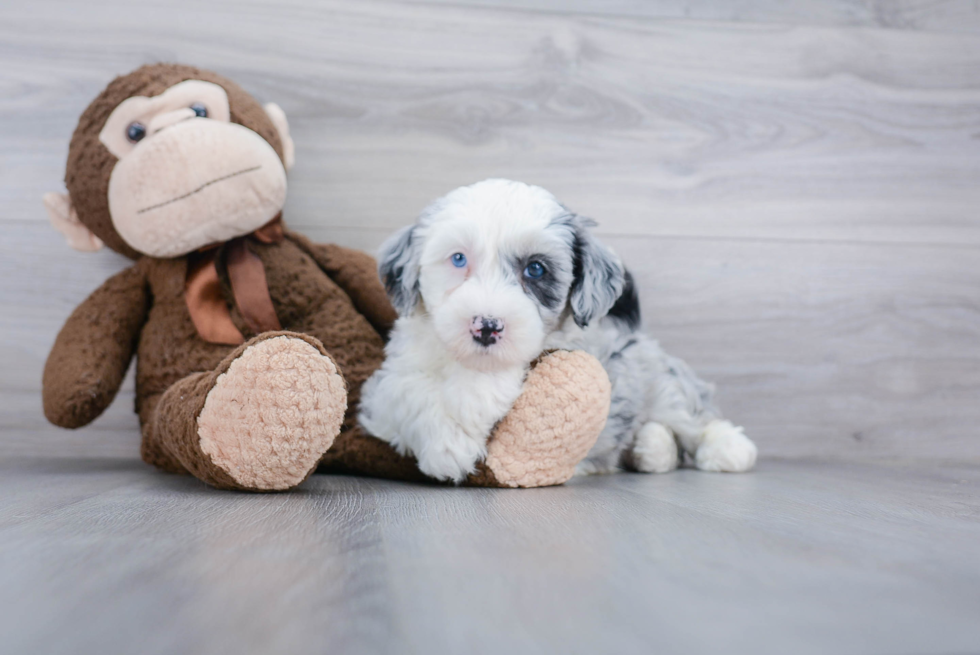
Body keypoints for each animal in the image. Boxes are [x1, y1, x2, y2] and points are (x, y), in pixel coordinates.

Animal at [360, 179, 756, 482]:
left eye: (536, 269)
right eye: (458, 259)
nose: (486, 326)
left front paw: (472, 402)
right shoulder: (380, 396)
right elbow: (408, 392)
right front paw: (448, 446)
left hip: (665, 387)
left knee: (696, 418)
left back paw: (729, 449)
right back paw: (651, 448)